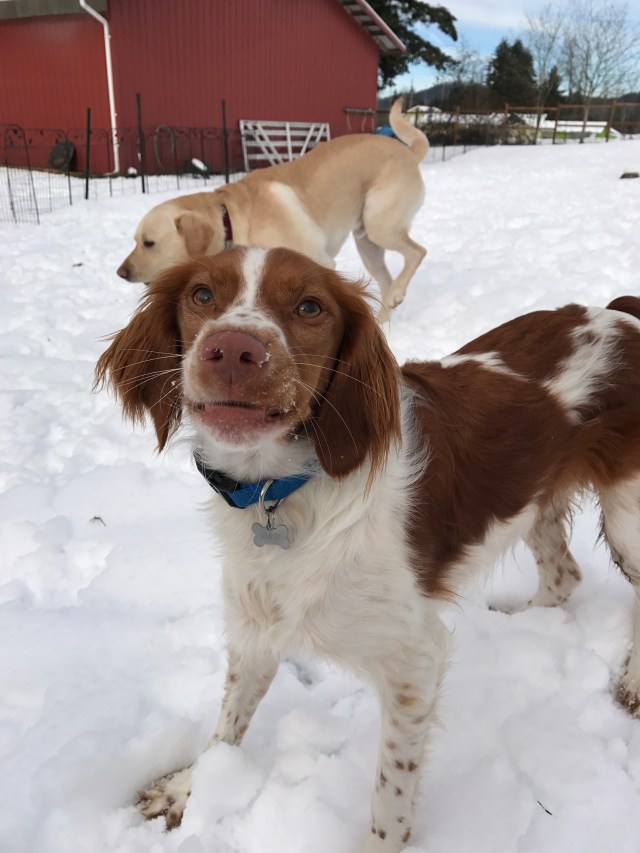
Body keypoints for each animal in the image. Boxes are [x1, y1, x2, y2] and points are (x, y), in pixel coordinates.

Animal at [96, 246, 640, 852]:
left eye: (310, 306)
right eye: (202, 295)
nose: (234, 350)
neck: (281, 491)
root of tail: (623, 314)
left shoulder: (415, 661)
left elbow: (390, 793)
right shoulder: (256, 623)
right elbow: (228, 724)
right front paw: (189, 790)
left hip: (627, 516)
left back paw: (632, 685)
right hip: (533, 497)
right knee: (564, 576)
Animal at [116, 98, 428, 321]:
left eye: (149, 243)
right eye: (135, 240)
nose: (121, 272)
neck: (230, 219)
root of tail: (408, 151)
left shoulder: (317, 263)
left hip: (380, 225)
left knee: (417, 252)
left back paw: (396, 296)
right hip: (367, 243)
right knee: (387, 282)